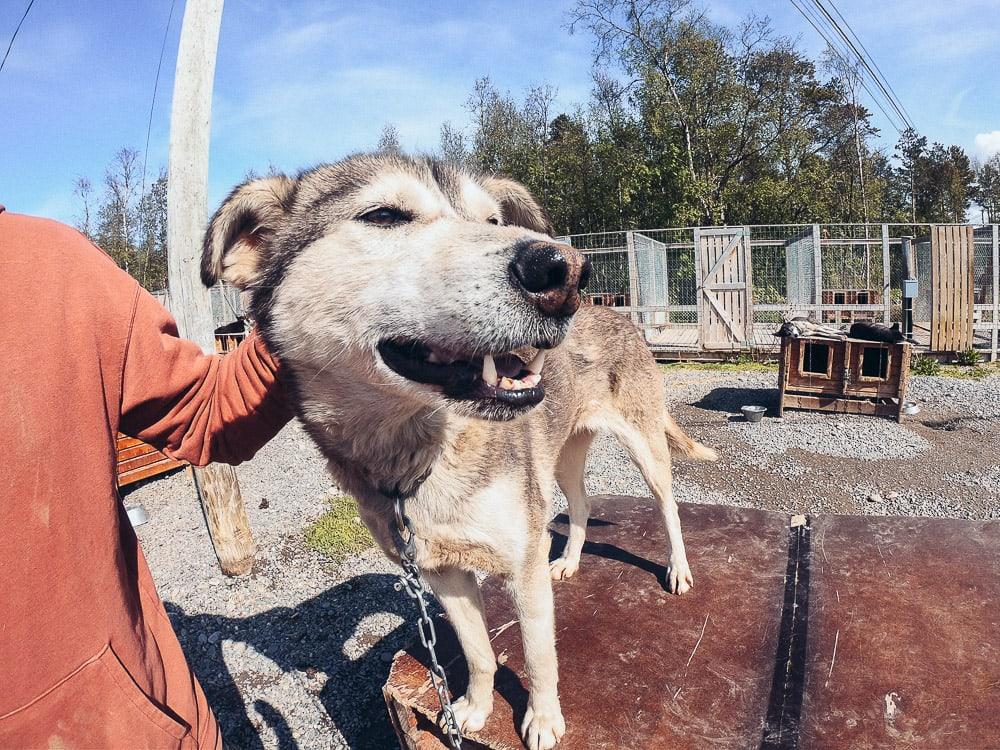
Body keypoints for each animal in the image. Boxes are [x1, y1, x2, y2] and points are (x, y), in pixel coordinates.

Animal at [201, 154, 720, 750]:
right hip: (563, 458)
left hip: (644, 446)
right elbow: (478, 652)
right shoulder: (442, 574)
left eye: (493, 221)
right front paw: (474, 707)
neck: (417, 457)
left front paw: (543, 720)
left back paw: (677, 570)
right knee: (582, 504)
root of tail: (617, 313)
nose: (564, 273)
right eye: (384, 216)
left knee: (669, 507)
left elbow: (539, 657)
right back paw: (568, 560)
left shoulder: (522, 563)